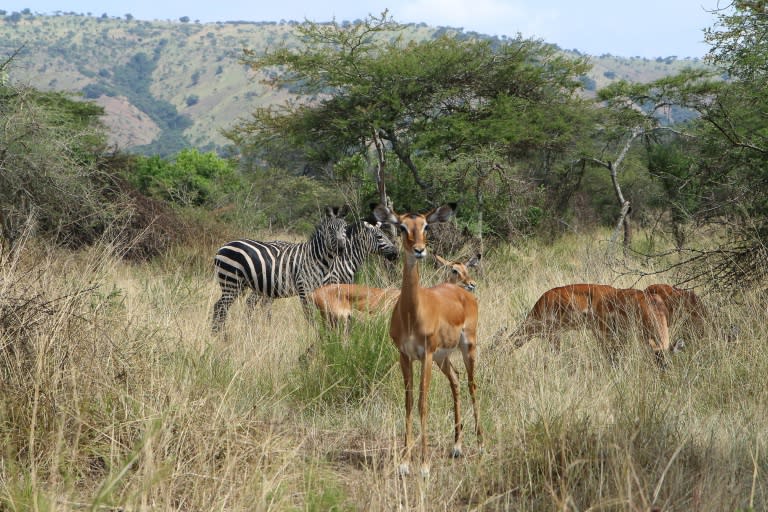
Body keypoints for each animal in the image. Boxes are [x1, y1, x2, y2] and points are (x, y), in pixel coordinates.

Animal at [213, 206, 352, 330]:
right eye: (330, 229)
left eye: (345, 227)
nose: (341, 249)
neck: (316, 257)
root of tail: (223, 246)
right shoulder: (304, 288)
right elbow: (310, 316)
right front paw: (314, 334)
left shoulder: (317, 290)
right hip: (231, 281)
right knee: (220, 307)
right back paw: (221, 335)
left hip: (239, 284)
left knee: (220, 307)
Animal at [372, 202, 480, 478]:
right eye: (402, 227)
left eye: (426, 226)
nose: (419, 250)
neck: (412, 312)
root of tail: (463, 292)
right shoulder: (405, 356)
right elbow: (409, 402)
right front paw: (404, 463)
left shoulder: (426, 355)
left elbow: (423, 402)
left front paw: (424, 466)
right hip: (443, 358)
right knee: (456, 381)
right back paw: (456, 447)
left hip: (467, 347)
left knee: (472, 384)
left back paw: (482, 443)